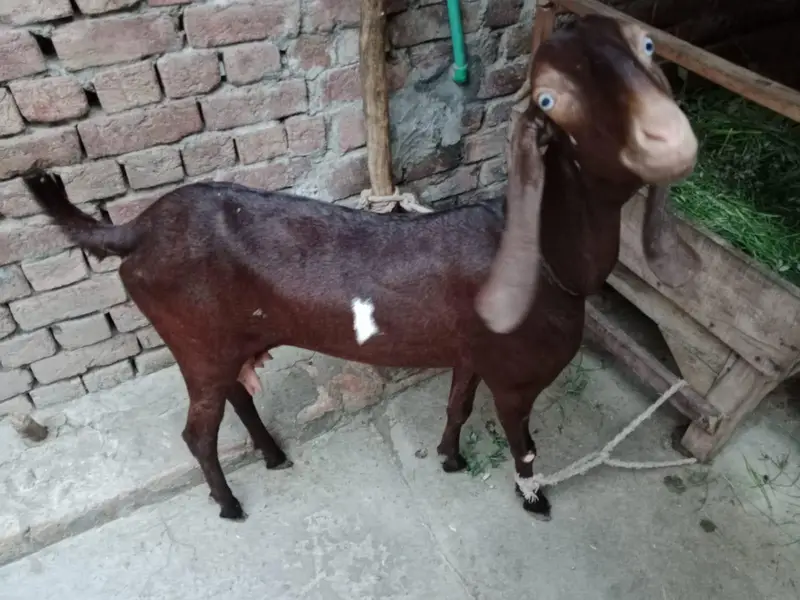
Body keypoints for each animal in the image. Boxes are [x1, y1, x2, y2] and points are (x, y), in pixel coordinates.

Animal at [24, 14, 700, 522]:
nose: (667, 135)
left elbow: (457, 406)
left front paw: (450, 458)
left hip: (225, 340)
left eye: (647, 45)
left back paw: (272, 454)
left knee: (236, 397)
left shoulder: (470, 353)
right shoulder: (516, 377)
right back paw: (231, 504)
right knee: (197, 433)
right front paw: (534, 500)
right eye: (551, 99)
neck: (544, 258)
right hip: (196, 339)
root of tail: (135, 230)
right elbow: (525, 445)